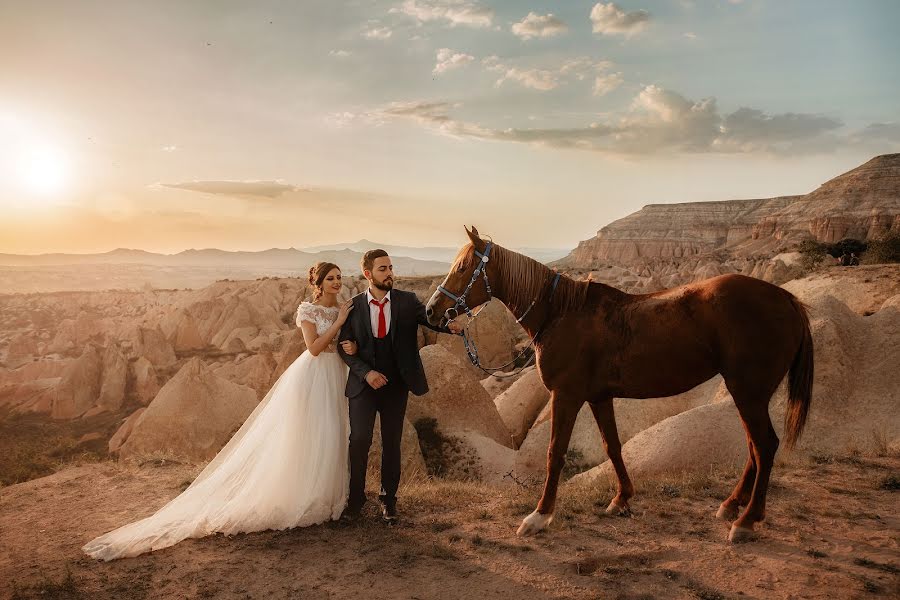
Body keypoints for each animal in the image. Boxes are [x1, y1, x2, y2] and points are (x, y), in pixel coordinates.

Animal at [426, 226, 812, 544]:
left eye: (463, 268)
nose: (432, 310)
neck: (561, 314)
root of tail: (788, 299)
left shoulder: (566, 396)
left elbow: (555, 454)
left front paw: (540, 515)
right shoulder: (599, 398)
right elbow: (612, 447)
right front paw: (622, 498)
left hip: (748, 392)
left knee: (764, 446)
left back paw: (746, 521)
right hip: (747, 395)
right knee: (754, 447)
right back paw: (732, 505)